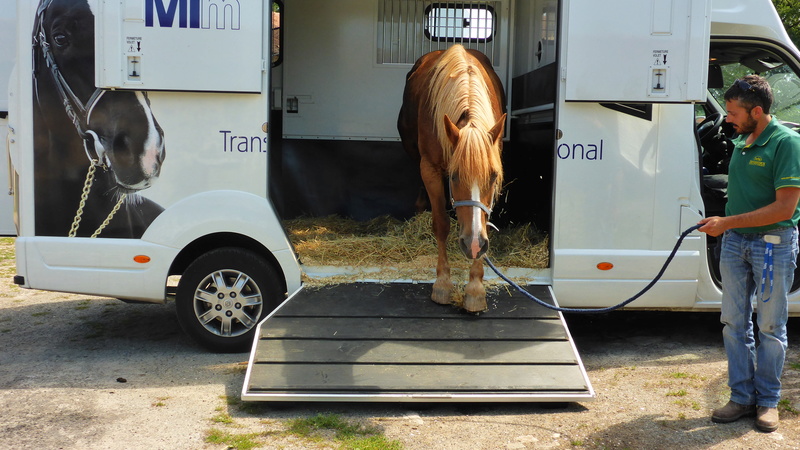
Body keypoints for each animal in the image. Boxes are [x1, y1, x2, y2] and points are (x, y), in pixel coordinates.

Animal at [396, 45, 504, 312]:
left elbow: (483, 221)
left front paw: (475, 288)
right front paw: (443, 283)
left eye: (493, 177)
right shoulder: (431, 168)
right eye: (454, 177)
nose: (474, 244)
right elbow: (441, 224)